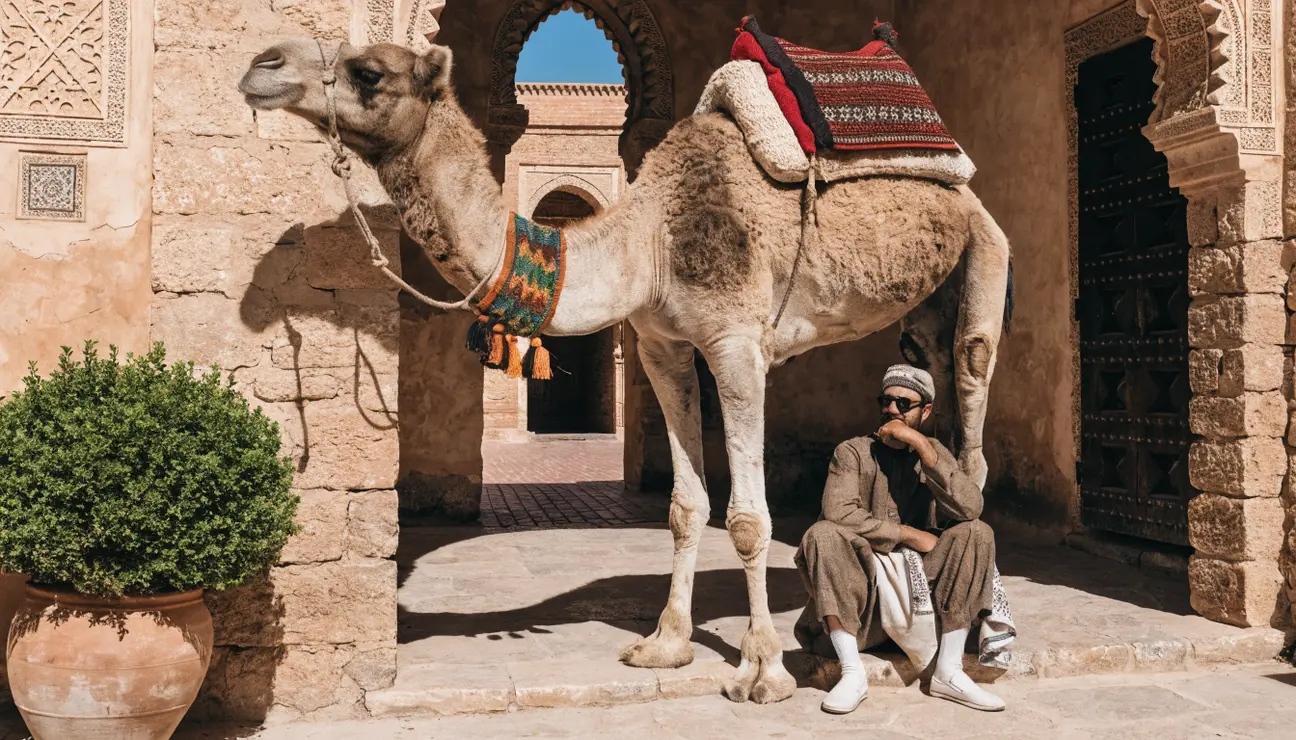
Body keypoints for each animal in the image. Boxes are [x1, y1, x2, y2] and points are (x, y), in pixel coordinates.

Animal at [238, 39, 1012, 704]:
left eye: (369, 72)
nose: (261, 65)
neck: (650, 242)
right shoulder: (661, 345)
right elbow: (686, 505)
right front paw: (664, 644)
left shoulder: (737, 343)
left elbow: (748, 517)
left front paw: (760, 668)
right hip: (923, 303)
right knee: (933, 377)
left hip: (984, 247)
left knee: (974, 410)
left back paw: (982, 640)